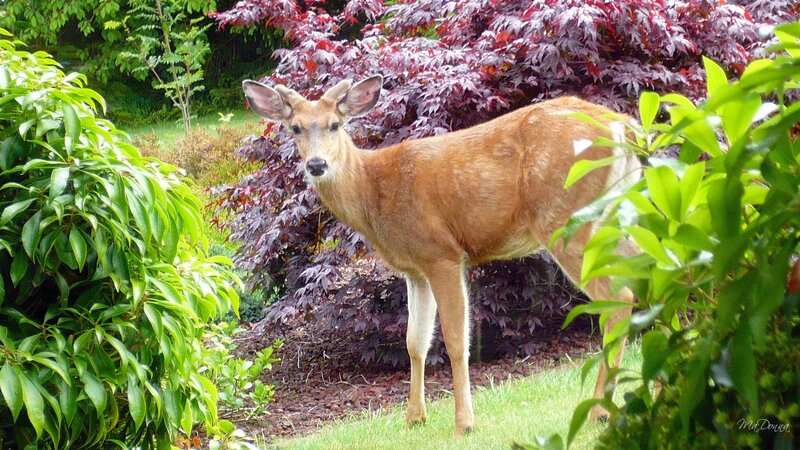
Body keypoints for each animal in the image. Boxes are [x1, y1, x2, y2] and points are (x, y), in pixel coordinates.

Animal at [241, 75, 640, 436]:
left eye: (335, 124)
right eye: (294, 128)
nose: (317, 165)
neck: (374, 193)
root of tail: (624, 127)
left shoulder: (442, 254)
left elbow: (455, 339)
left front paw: (464, 423)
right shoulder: (414, 269)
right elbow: (415, 342)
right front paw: (414, 418)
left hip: (566, 217)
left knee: (619, 298)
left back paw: (598, 412)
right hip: (619, 213)